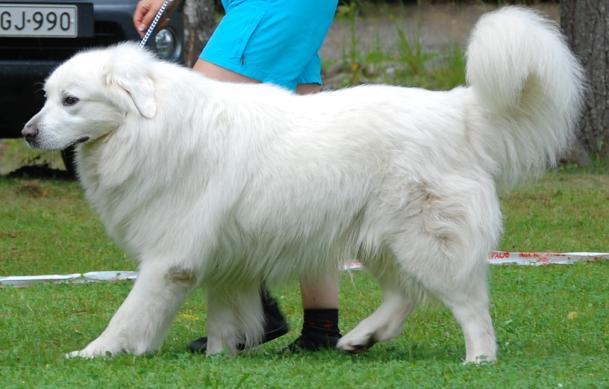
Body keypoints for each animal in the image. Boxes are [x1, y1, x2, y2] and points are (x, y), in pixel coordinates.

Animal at [23, 7, 580, 362]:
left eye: (71, 101)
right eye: (47, 97)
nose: (27, 132)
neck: (150, 126)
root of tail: (458, 110)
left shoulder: (169, 258)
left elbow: (129, 315)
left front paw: (93, 353)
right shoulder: (221, 259)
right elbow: (223, 317)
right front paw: (219, 360)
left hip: (424, 240)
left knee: (469, 304)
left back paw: (478, 360)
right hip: (381, 239)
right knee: (405, 295)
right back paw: (360, 338)